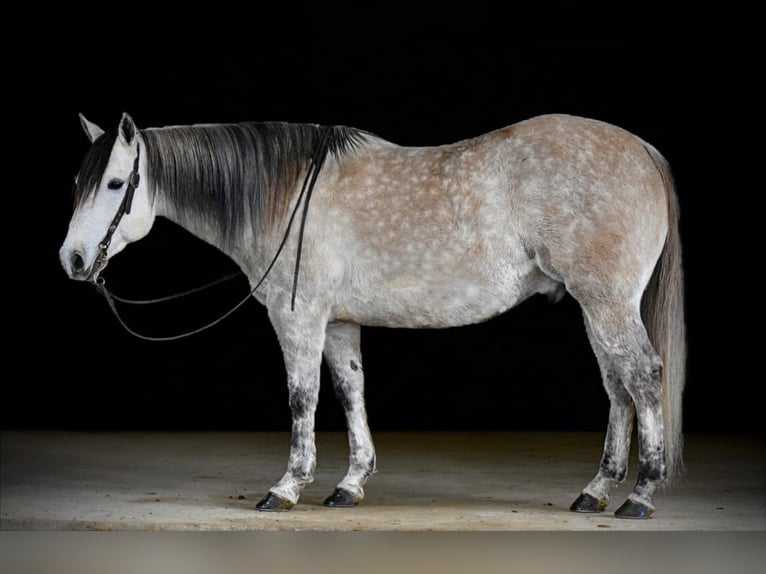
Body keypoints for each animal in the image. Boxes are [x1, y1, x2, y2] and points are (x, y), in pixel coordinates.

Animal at [58, 112, 684, 520]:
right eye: (77, 183)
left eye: (115, 183)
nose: (74, 260)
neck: (286, 193)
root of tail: (642, 149)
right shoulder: (338, 324)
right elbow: (350, 392)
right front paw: (350, 484)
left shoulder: (298, 319)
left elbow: (302, 399)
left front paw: (287, 488)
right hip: (596, 307)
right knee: (618, 387)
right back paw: (595, 492)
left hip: (606, 303)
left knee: (643, 378)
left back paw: (640, 495)